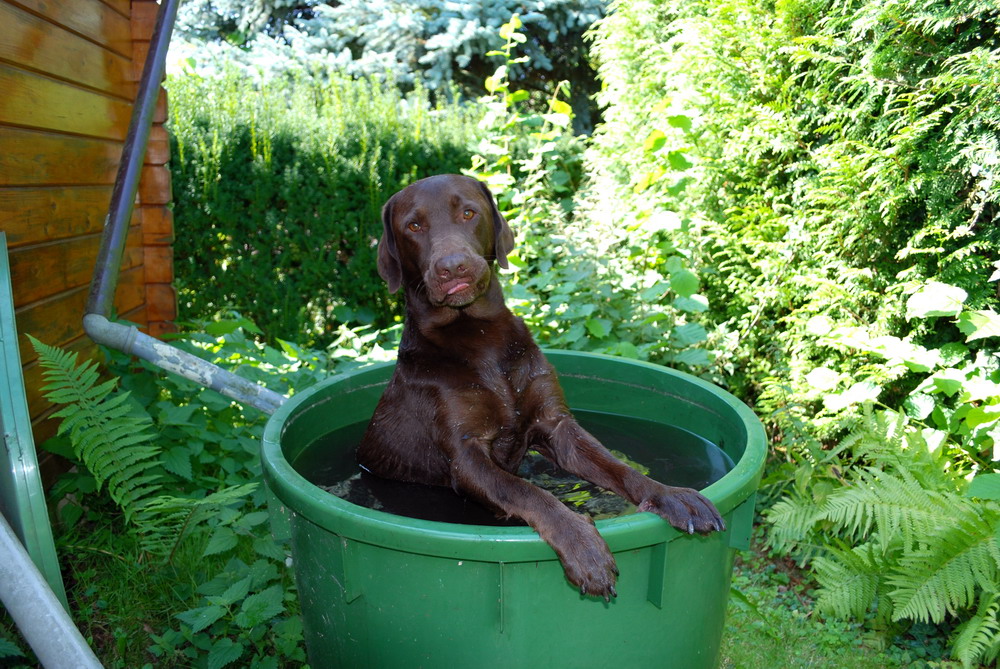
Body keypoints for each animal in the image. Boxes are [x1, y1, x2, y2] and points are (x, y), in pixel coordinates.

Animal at [356, 175, 724, 596]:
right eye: (413, 226)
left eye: (468, 212)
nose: (453, 267)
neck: (477, 337)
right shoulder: (466, 456)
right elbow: (525, 491)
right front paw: (582, 545)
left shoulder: (556, 425)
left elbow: (617, 467)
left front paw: (670, 495)